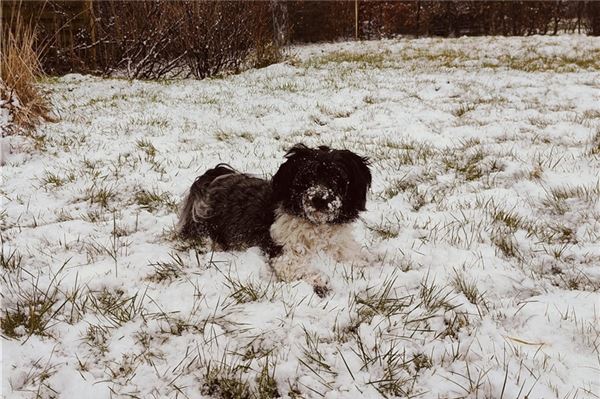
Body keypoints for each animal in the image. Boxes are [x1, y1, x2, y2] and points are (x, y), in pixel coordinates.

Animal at [178, 145, 372, 296]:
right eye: (307, 177)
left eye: (337, 178)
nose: (319, 199)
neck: (318, 227)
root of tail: (212, 179)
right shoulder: (283, 253)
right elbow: (298, 267)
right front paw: (320, 281)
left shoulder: (342, 248)